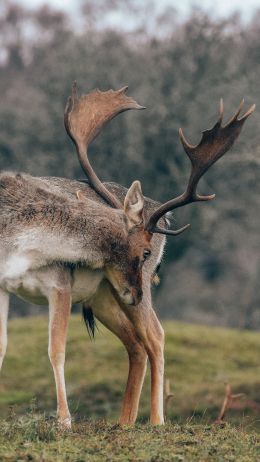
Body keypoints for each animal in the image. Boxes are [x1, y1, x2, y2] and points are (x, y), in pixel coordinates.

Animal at [0, 84, 254, 430]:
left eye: (145, 253)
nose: (135, 293)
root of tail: (162, 217)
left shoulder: (60, 285)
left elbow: (57, 349)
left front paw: (64, 421)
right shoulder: (3, 284)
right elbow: (3, 347)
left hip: (122, 294)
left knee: (156, 336)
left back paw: (156, 421)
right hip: (104, 296)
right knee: (135, 343)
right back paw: (124, 423)